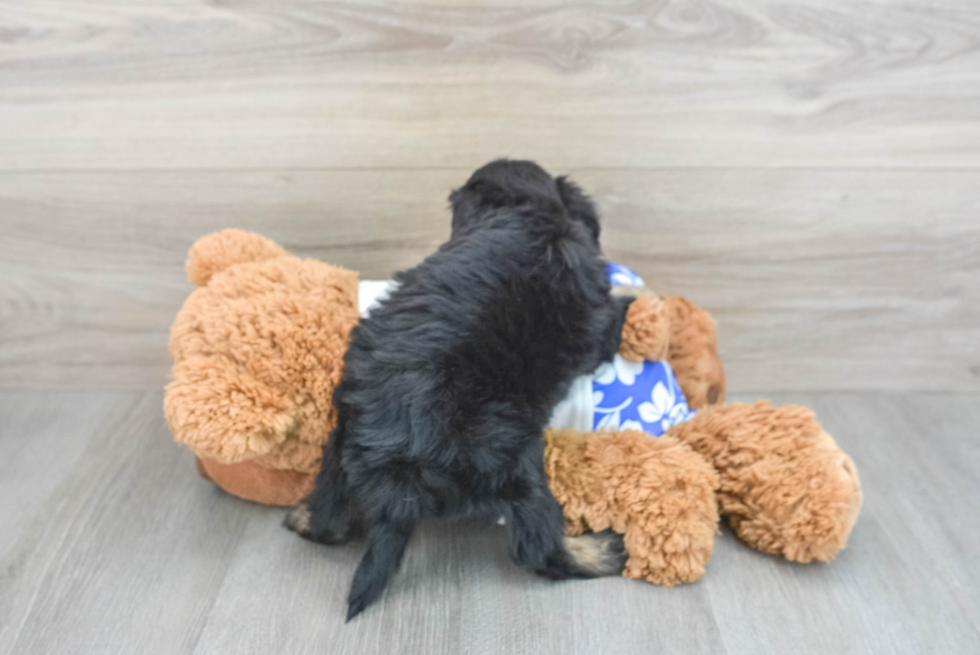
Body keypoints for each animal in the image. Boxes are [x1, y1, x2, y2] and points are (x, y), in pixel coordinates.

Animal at [288, 159, 632, 620]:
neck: (531, 212)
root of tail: (404, 473)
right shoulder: (597, 324)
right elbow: (613, 319)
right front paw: (632, 298)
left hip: (340, 443)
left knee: (331, 516)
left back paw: (302, 518)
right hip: (521, 470)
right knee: (539, 550)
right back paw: (606, 551)